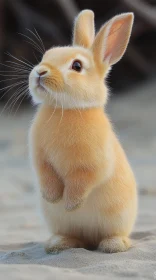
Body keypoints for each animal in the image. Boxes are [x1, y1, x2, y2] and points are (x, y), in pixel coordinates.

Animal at [28, 9, 137, 254]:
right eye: (46, 55)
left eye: (77, 66)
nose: (40, 72)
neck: (67, 110)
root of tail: (91, 239)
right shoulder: (40, 158)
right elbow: (45, 173)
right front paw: (52, 197)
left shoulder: (92, 164)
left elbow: (82, 181)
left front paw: (70, 204)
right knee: (75, 237)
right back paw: (59, 244)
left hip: (117, 219)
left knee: (111, 235)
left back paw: (113, 245)